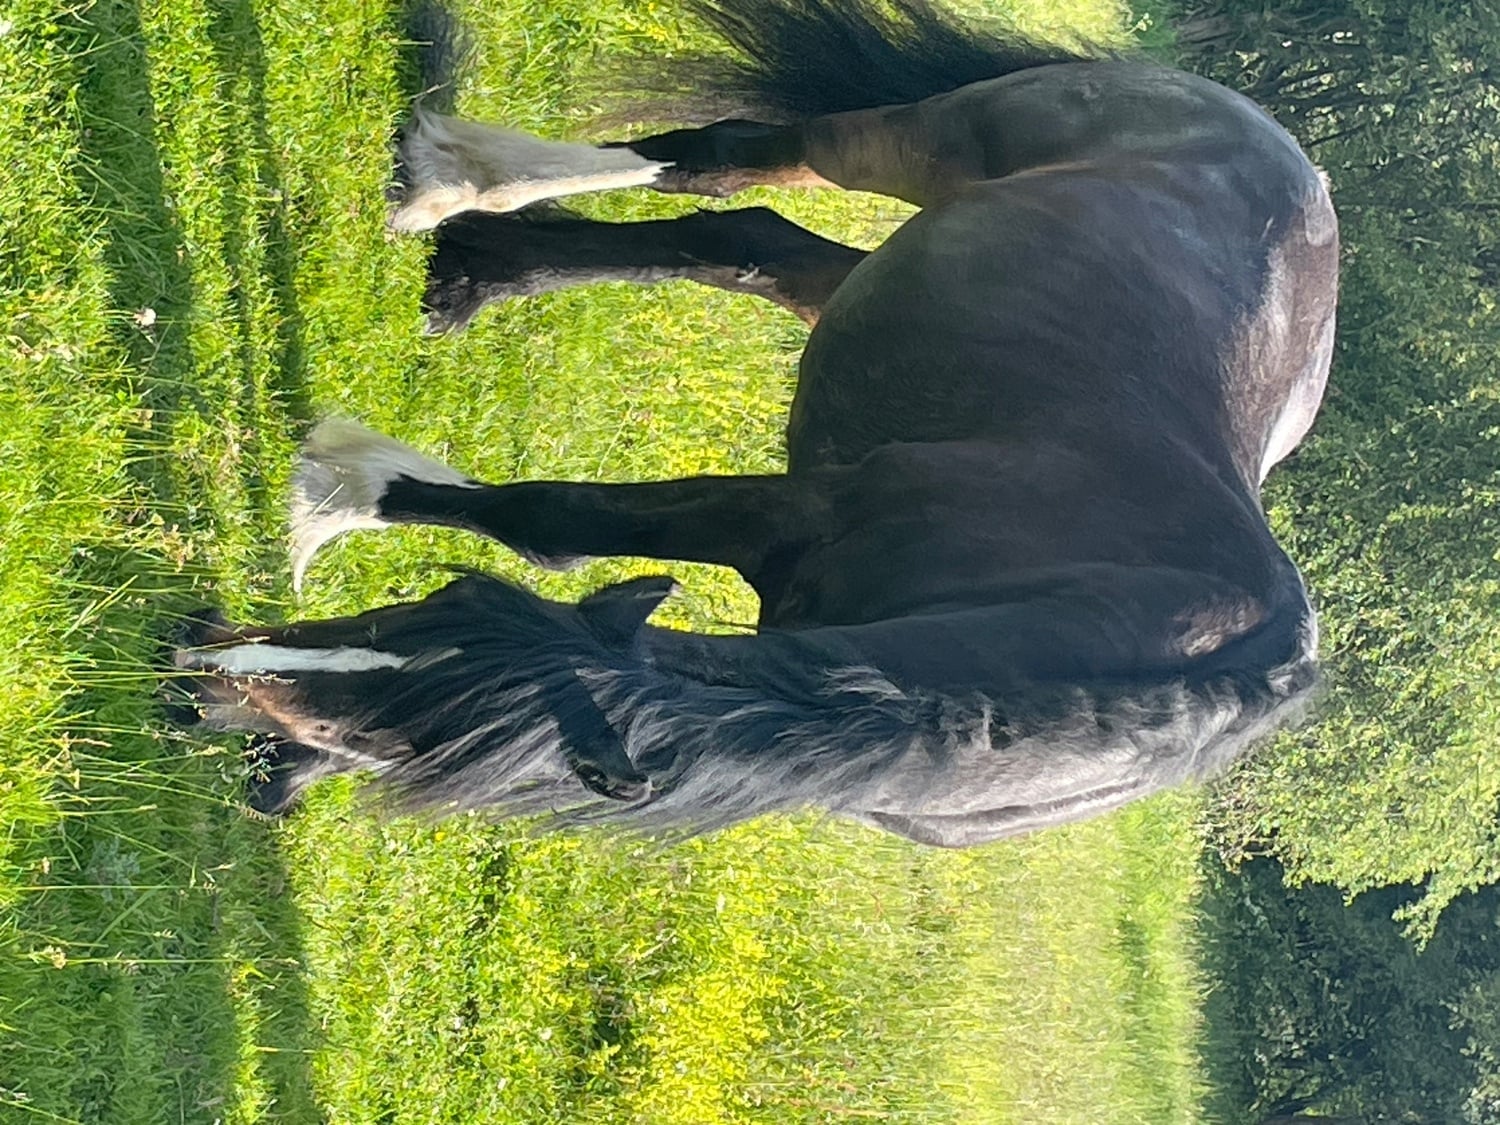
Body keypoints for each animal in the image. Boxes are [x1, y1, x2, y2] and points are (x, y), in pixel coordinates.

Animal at [173, 0, 1337, 844]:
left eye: (426, 616)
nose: (193, 677)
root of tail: (1280, 148)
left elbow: (559, 527)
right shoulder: (783, 511)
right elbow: (558, 518)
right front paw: (331, 495)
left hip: (862, 273)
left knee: (746, 237)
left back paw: (473, 267)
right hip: (907, 144)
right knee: (728, 158)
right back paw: (454, 184)